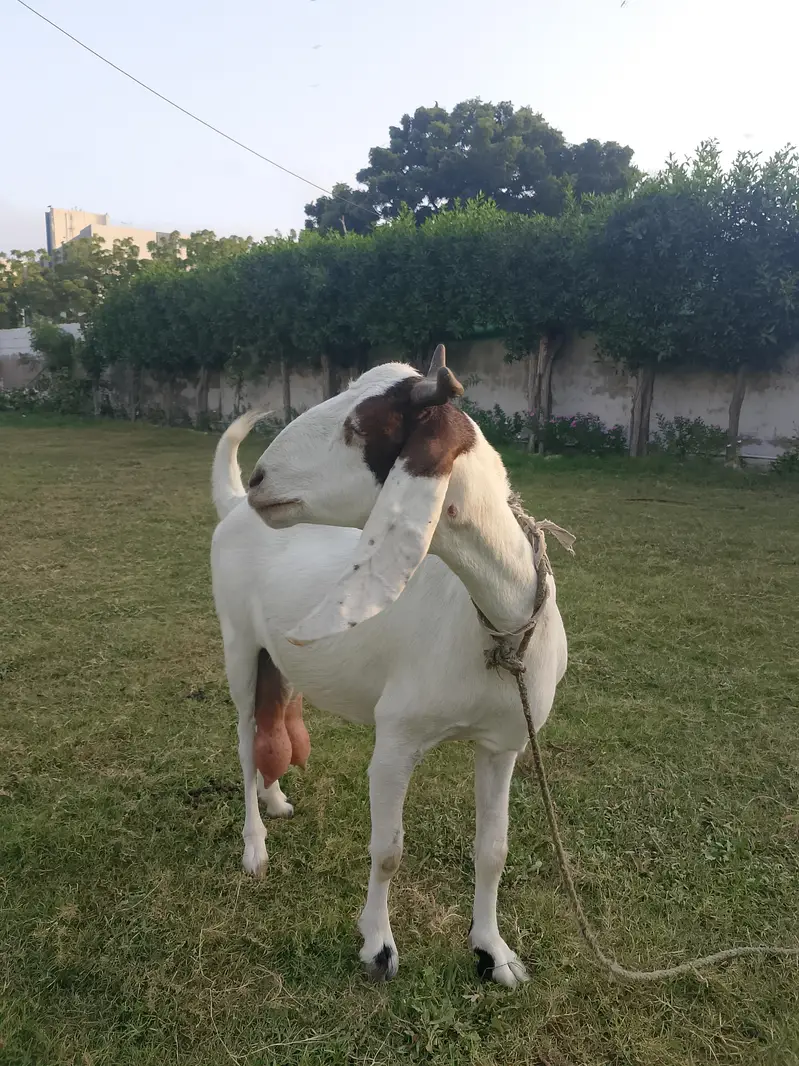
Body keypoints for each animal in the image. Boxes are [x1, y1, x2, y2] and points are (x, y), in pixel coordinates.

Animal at [210, 346, 568, 987]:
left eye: (360, 426)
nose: (260, 480)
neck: (493, 619)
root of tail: (232, 511)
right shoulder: (397, 737)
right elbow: (388, 850)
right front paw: (378, 945)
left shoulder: (503, 741)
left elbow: (493, 850)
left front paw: (494, 951)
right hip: (239, 644)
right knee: (247, 740)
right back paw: (255, 846)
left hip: (278, 656)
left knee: (274, 716)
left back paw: (275, 800)